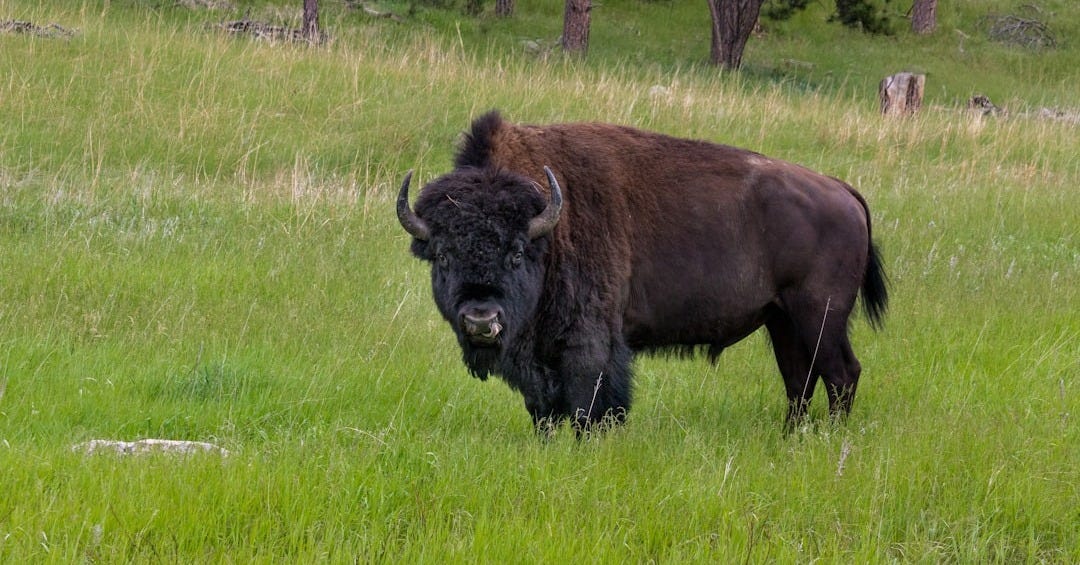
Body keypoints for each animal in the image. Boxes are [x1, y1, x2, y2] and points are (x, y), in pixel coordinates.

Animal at [397, 111, 888, 432]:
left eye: (517, 252)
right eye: (442, 255)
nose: (481, 320)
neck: (549, 227)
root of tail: (841, 190)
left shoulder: (590, 343)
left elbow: (589, 403)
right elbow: (544, 410)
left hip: (820, 316)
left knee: (842, 375)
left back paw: (829, 439)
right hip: (781, 320)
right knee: (799, 380)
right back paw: (790, 438)